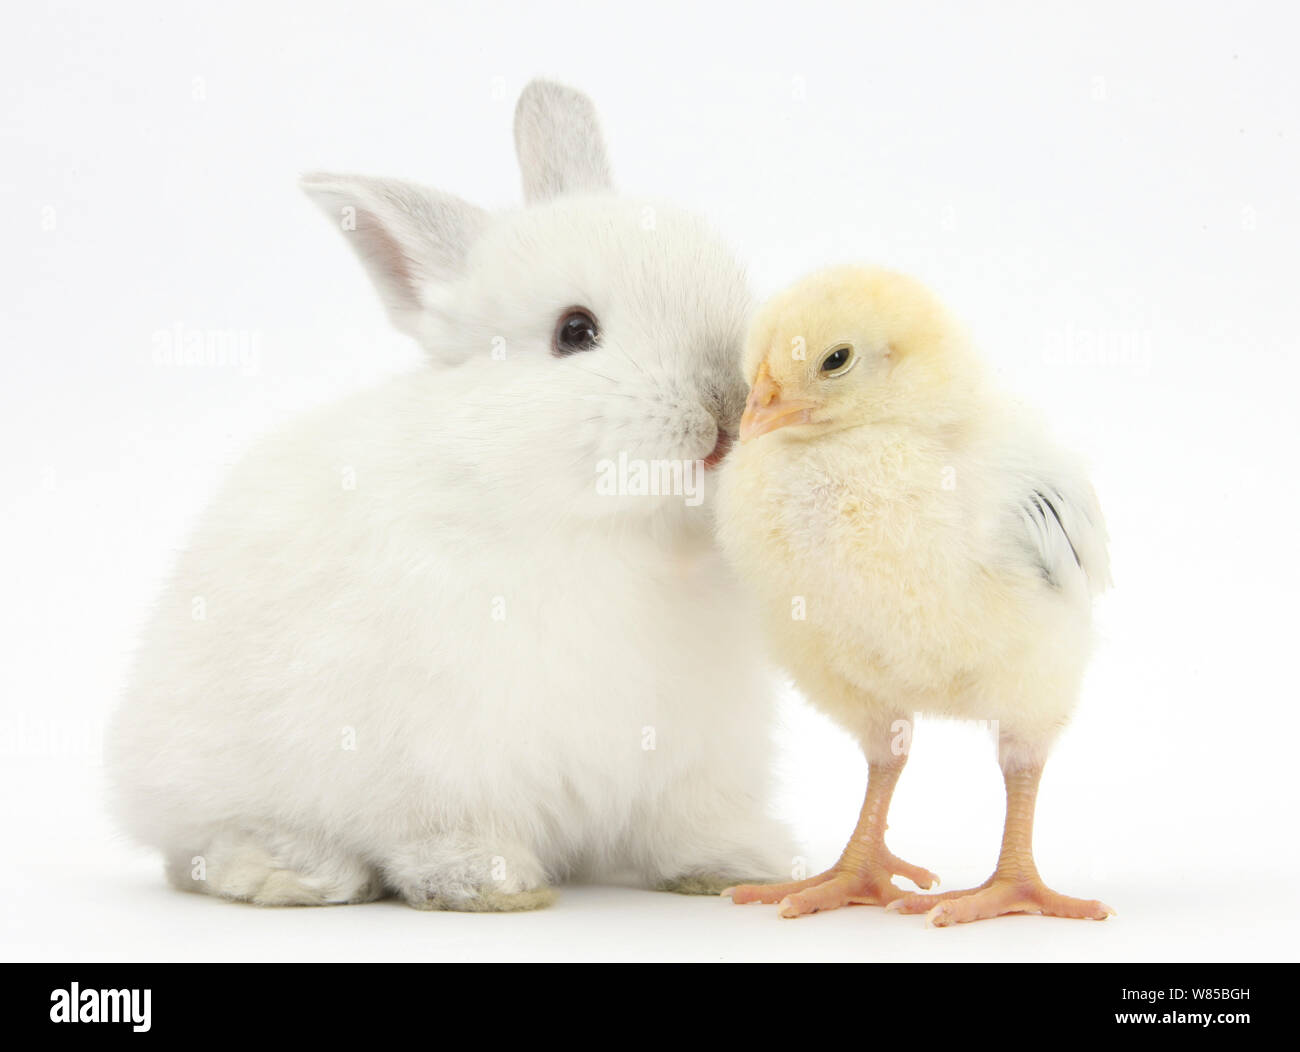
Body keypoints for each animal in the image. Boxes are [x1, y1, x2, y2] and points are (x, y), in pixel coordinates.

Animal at [104, 79, 790, 910]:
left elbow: (689, 825)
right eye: (575, 331)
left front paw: (739, 866)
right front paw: (490, 884)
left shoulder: (695, 758)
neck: (614, 529)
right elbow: (440, 831)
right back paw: (292, 871)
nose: (728, 402)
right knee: (199, 850)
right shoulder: (440, 758)